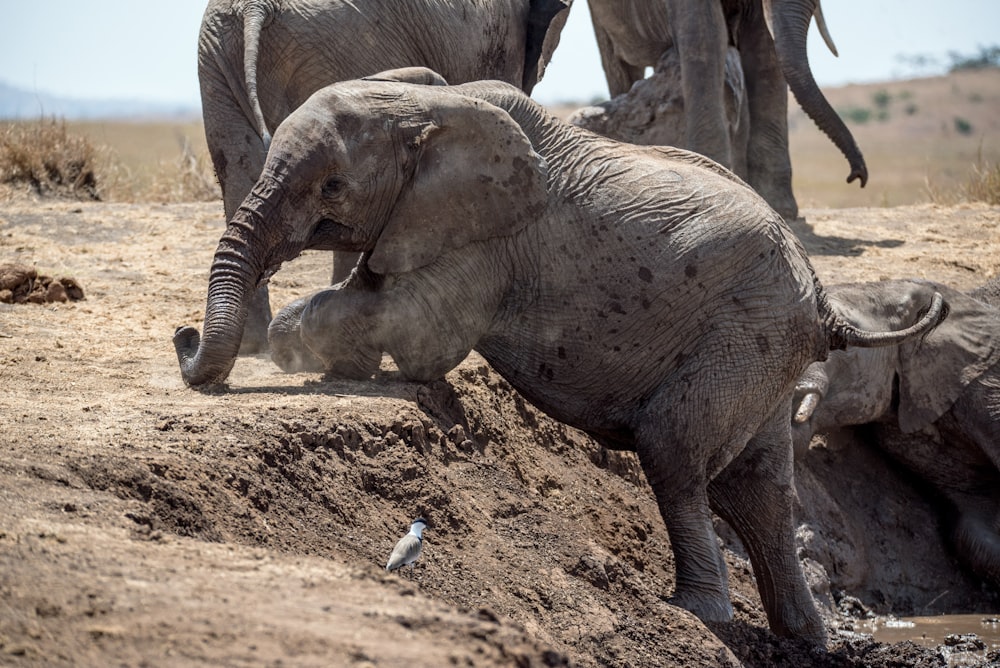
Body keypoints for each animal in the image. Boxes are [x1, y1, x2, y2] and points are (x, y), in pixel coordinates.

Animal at [172, 70, 944, 644]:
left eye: (332, 185)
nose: (184, 342)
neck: (431, 108)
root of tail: (822, 300)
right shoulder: (421, 219)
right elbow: (372, 297)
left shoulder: (493, 239)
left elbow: (414, 329)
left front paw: (293, 345)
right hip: (762, 352)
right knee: (756, 488)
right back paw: (804, 640)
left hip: (742, 334)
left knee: (675, 455)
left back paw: (694, 613)